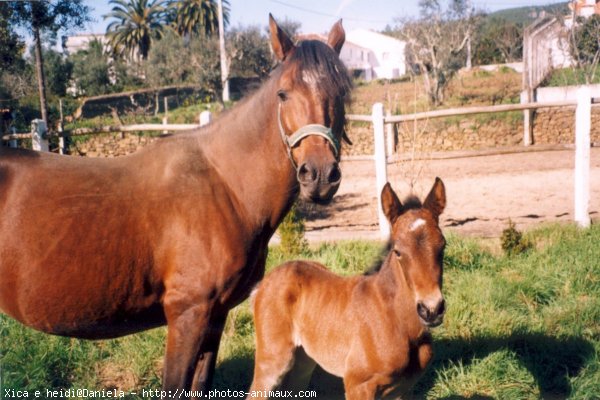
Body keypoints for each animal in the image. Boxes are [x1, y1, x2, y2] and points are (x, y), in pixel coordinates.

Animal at [0, 14, 352, 396]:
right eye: (283, 93)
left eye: (341, 93)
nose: (319, 175)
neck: (225, 185)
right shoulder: (187, 315)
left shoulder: (215, 316)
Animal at [248, 179, 446, 400]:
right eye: (398, 251)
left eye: (443, 246)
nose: (431, 309)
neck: (397, 322)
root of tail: (263, 283)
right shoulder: (358, 386)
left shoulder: (403, 390)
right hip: (272, 359)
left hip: (303, 361)